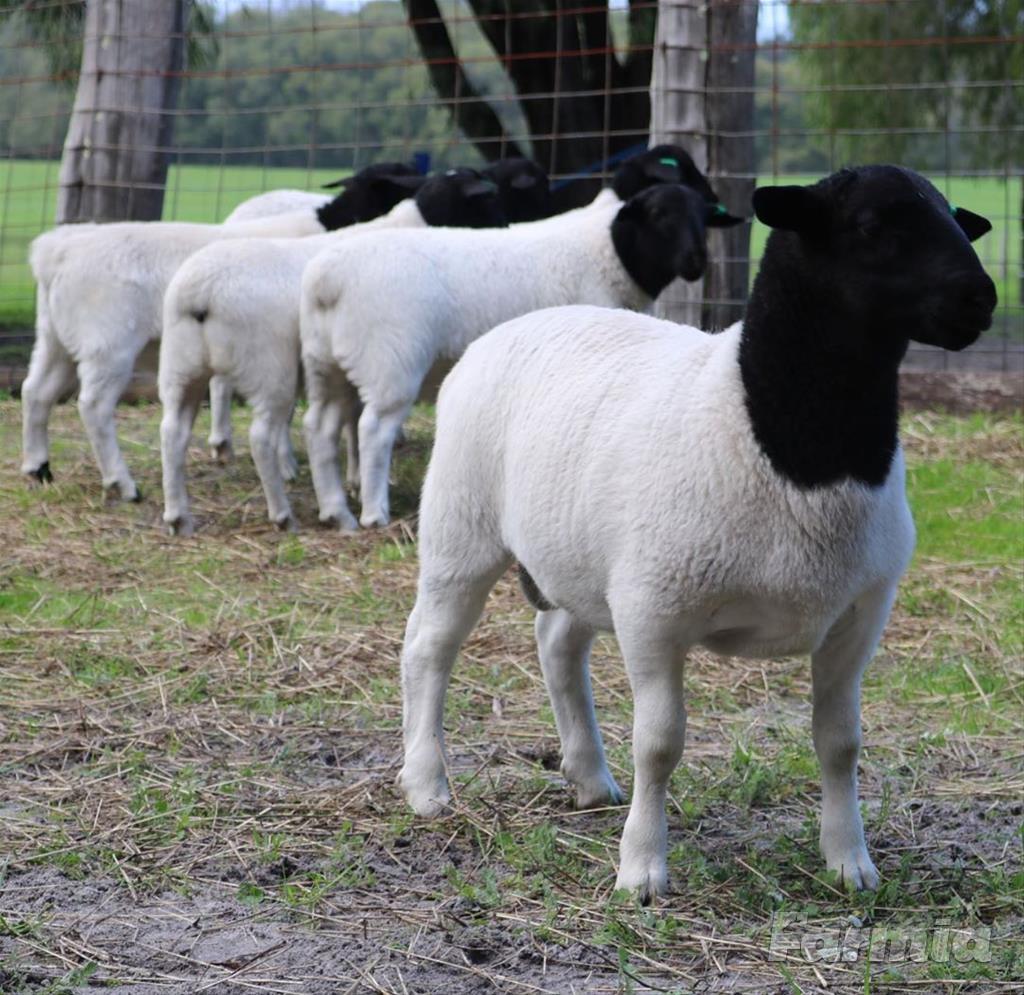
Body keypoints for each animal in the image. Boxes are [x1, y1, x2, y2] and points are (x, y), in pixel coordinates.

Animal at [20, 171, 427, 502]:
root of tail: (55, 252)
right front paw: (288, 466)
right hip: (108, 346)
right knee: (93, 406)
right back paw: (123, 484)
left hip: (56, 337)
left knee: (35, 390)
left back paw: (38, 469)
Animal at [158, 167, 507, 536]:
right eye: (486, 200)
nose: (504, 227)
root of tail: (200, 294)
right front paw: (360, 483)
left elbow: (352, 423)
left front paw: (355, 480)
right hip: (268, 368)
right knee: (261, 436)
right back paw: (283, 513)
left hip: (181, 367)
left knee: (173, 431)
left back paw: (179, 516)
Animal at [299, 172, 742, 529]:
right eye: (659, 214)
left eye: (703, 217)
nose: (697, 261)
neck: (605, 255)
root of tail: (325, 281)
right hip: (390, 363)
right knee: (373, 431)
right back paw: (374, 512)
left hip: (327, 365)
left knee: (319, 427)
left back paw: (335, 511)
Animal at [396, 164, 996, 902]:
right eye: (871, 226)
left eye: (953, 217)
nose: (981, 297)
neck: (795, 448)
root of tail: (510, 328)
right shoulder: (654, 608)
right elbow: (659, 744)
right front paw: (642, 870)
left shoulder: (859, 615)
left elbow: (840, 742)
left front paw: (849, 862)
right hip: (462, 529)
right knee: (429, 648)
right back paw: (427, 784)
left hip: (583, 556)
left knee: (557, 643)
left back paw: (589, 778)